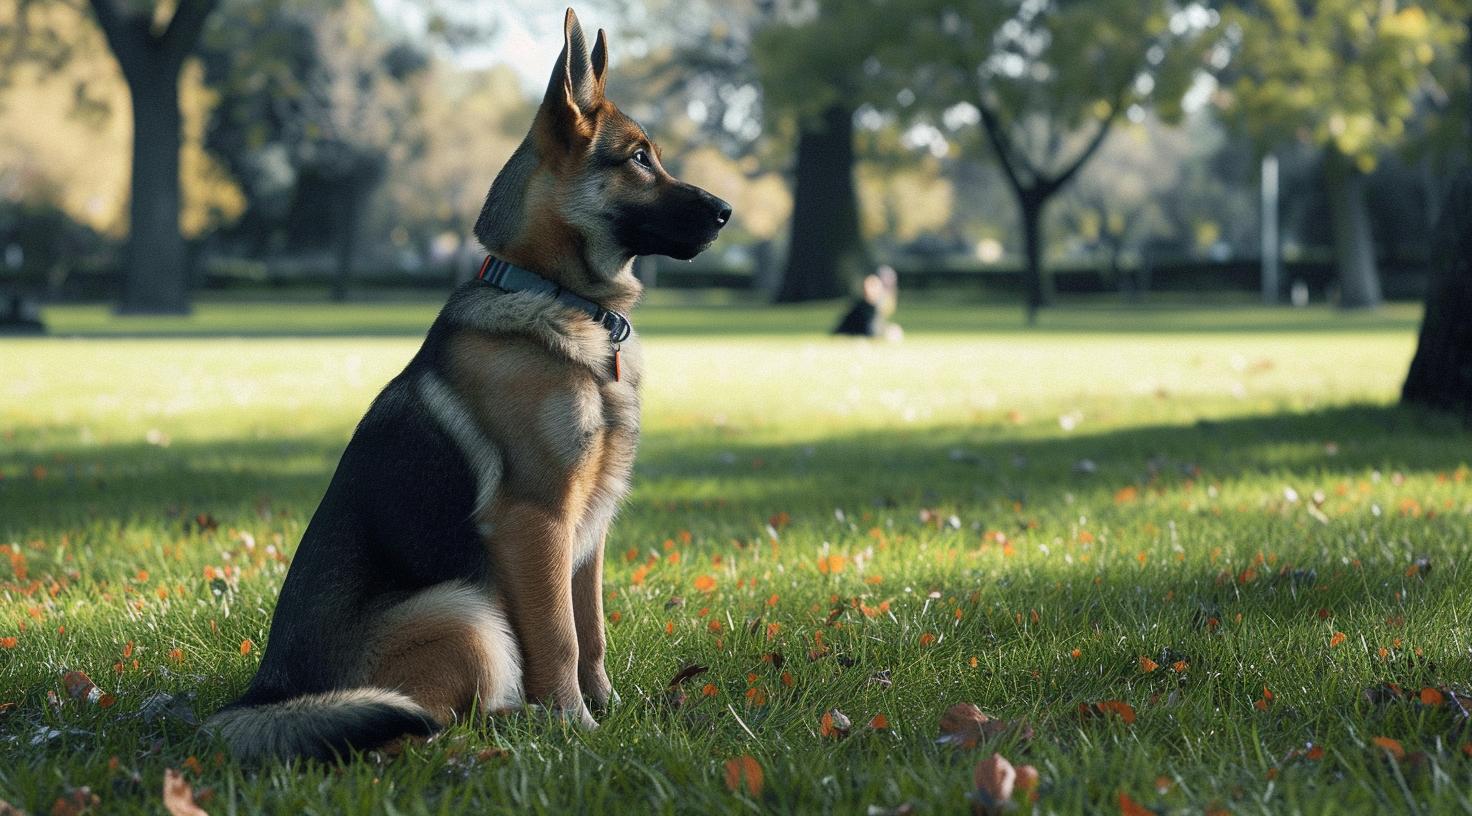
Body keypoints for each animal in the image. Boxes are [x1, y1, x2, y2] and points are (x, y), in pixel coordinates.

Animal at [207, 6, 730, 760]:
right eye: (638, 158)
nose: (726, 210)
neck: (556, 294)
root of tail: (265, 695)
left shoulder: (591, 529)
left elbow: (594, 631)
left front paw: (611, 711)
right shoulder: (536, 520)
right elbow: (561, 638)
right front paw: (576, 727)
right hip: (464, 610)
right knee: (420, 726)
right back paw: (507, 730)